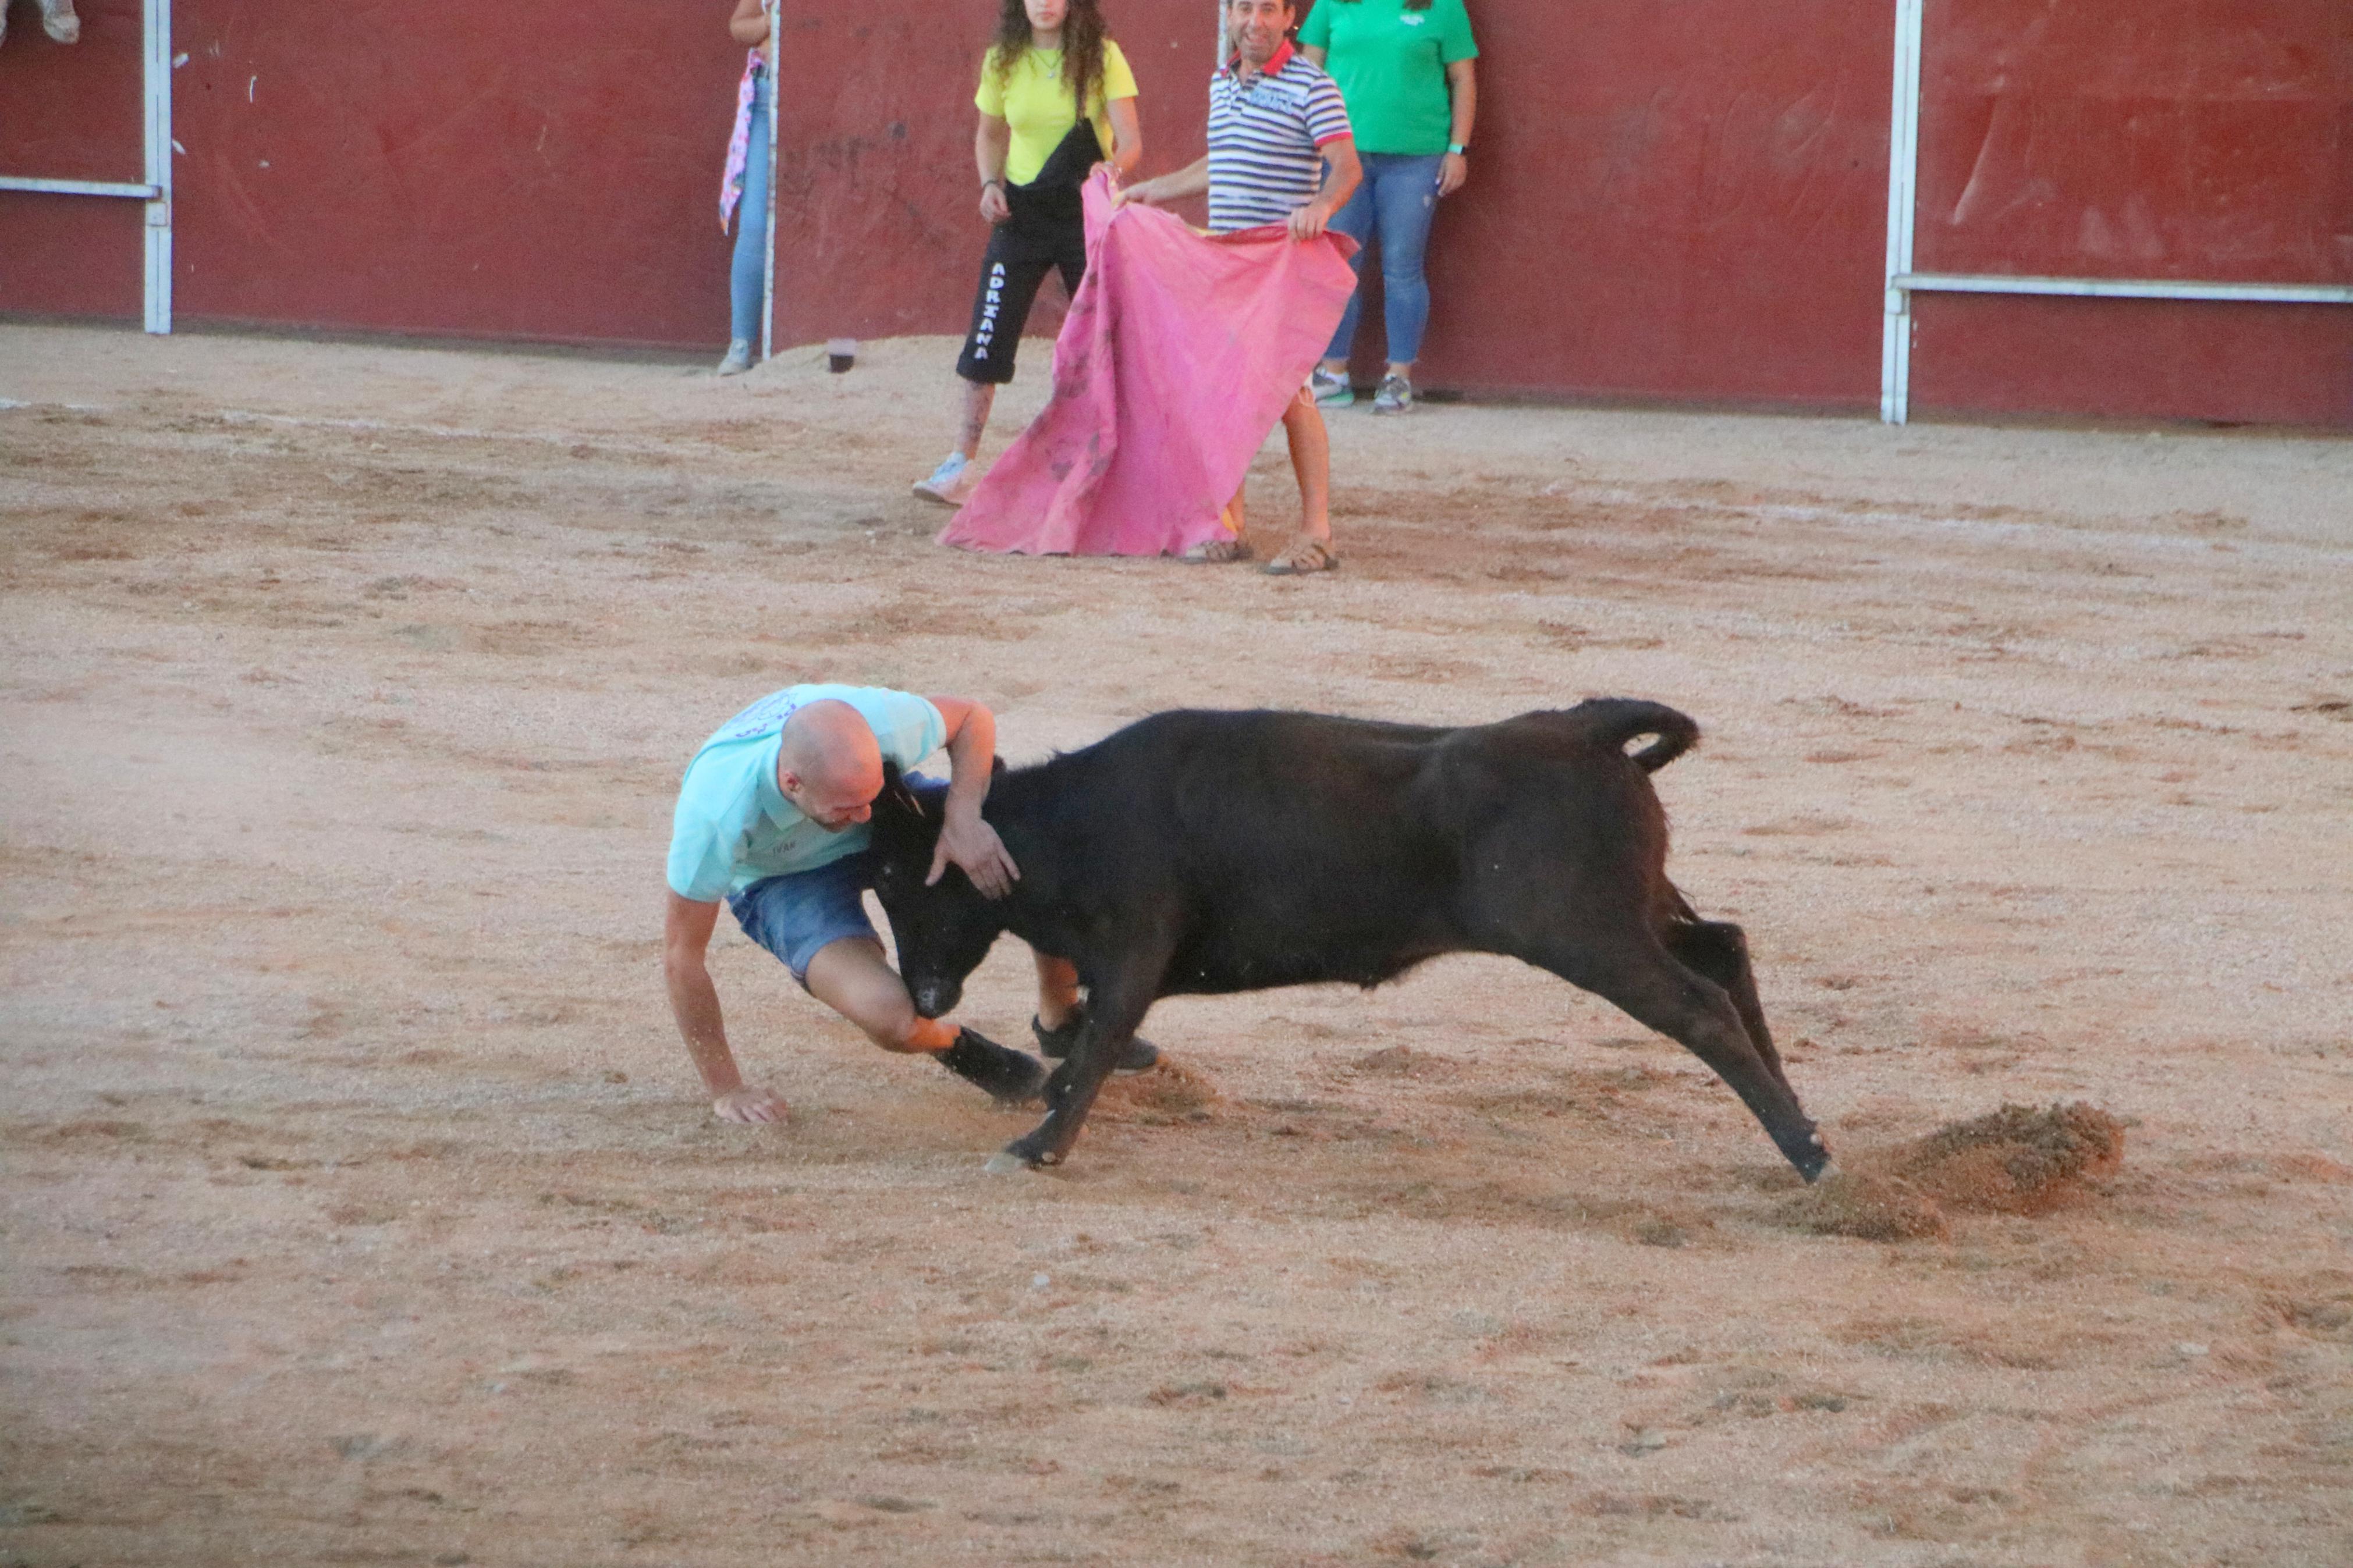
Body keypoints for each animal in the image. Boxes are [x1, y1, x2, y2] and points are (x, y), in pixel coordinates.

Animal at [870, 705, 1835, 1185]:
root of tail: (1582, 726)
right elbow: (1085, 1042)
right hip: (1629, 911)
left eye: (891, 873)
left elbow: (1100, 1040)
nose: (922, 995)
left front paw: (1038, 1145)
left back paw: (1810, 1156)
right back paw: (1808, 1126)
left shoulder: (1135, 946)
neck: (1070, 821)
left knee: (1700, 1006)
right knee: (1723, 949)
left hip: (1580, 930)